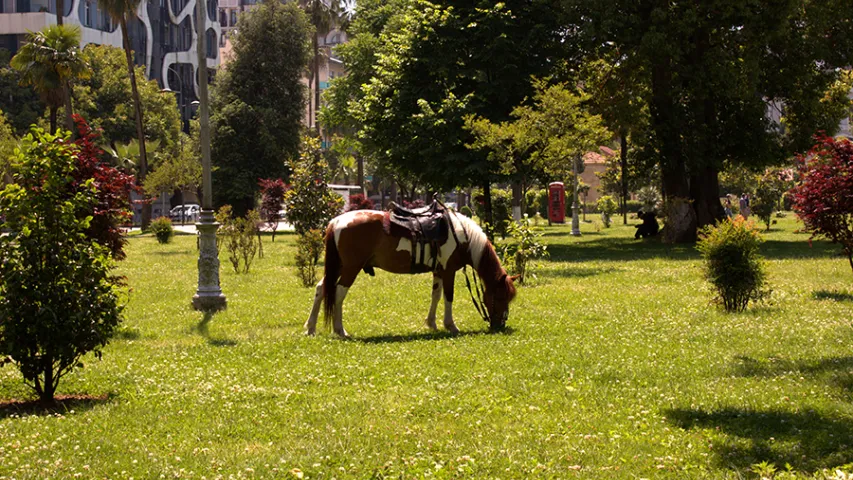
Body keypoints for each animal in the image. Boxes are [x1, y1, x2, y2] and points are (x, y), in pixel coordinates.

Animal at [306, 210, 520, 338]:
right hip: (351, 268)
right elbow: (448, 297)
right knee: (338, 293)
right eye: (500, 296)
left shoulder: (438, 272)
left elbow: (436, 295)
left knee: (321, 289)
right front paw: (450, 325)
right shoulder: (448, 271)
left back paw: (310, 328)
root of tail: (336, 221)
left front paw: (432, 323)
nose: (500, 324)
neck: (460, 234)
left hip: (339, 266)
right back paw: (340, 330)